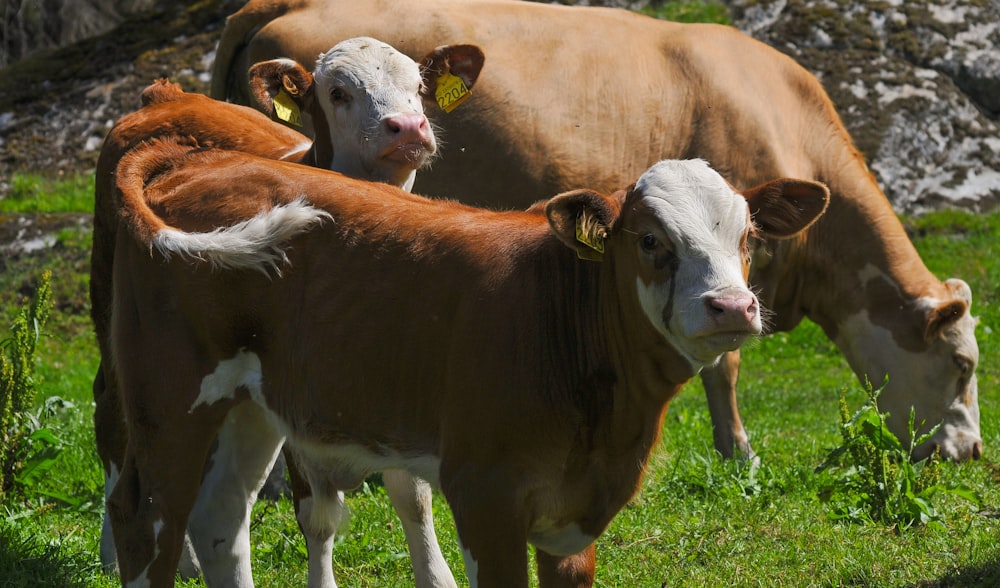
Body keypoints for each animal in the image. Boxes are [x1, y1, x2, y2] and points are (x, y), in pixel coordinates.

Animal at [92, 35, 482, 584]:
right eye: (338, 93)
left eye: (419, 87)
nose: (408, 126)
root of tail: (164, 96)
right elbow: (317, 513)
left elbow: (413, 495)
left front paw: (436, 575)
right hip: (119, 316)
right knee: (114, 419)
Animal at [107, 140, 828, 584]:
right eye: (651, 240)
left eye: (748, 237)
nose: (732, 307)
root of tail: (198, 161)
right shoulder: (485, 496)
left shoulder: (570, 524)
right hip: (168, 398)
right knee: (145, 522)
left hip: (252, 406)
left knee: (219, 520)